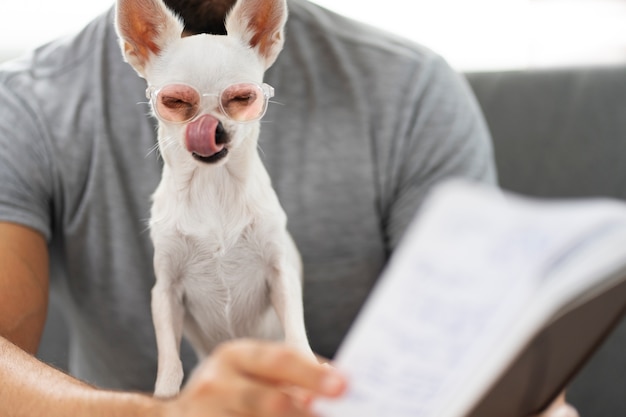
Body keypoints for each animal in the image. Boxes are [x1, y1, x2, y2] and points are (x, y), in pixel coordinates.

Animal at [115, 0, 314, 396]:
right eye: (175, 101)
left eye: (242, 99)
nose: (211, 128)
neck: (213, 187)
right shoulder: (166, 292)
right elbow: (170, 360)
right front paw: (165, 397)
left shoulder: (281, 275)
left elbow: (296, 337)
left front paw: (307, 373)